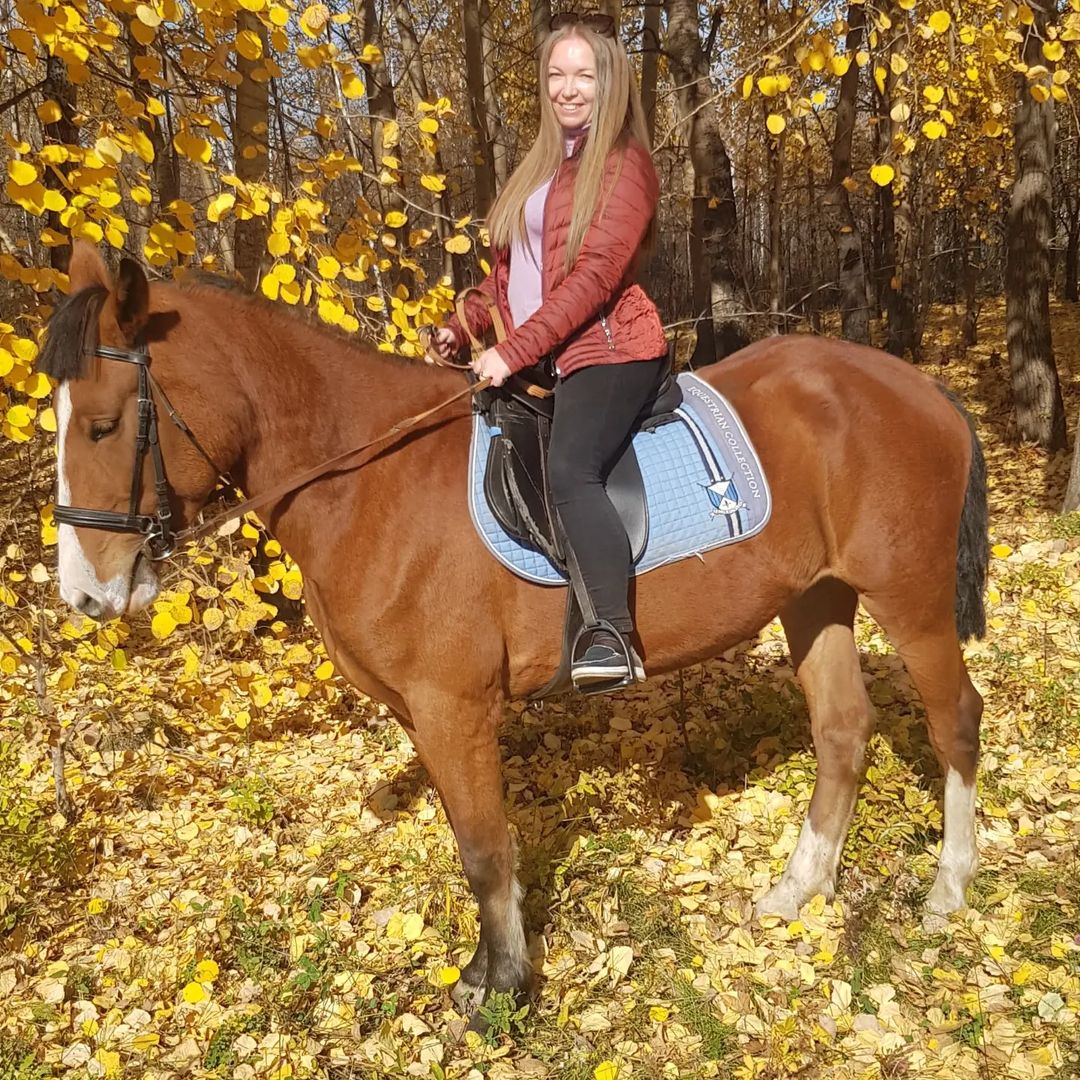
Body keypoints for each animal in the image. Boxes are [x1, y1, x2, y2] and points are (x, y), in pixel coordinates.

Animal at [42, 242, 987, 1018]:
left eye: (104, 423)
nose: (86, 594)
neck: (369, 480)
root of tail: (919, 387)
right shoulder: (420, 714)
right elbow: (477, 841)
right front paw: (490, 971)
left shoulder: (452, 707)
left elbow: (484, 850)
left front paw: (500, 987)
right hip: (816, 597)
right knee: (843, 731)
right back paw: (798, 891)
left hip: (909, 600)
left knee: (955, 721)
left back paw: (949, 891)